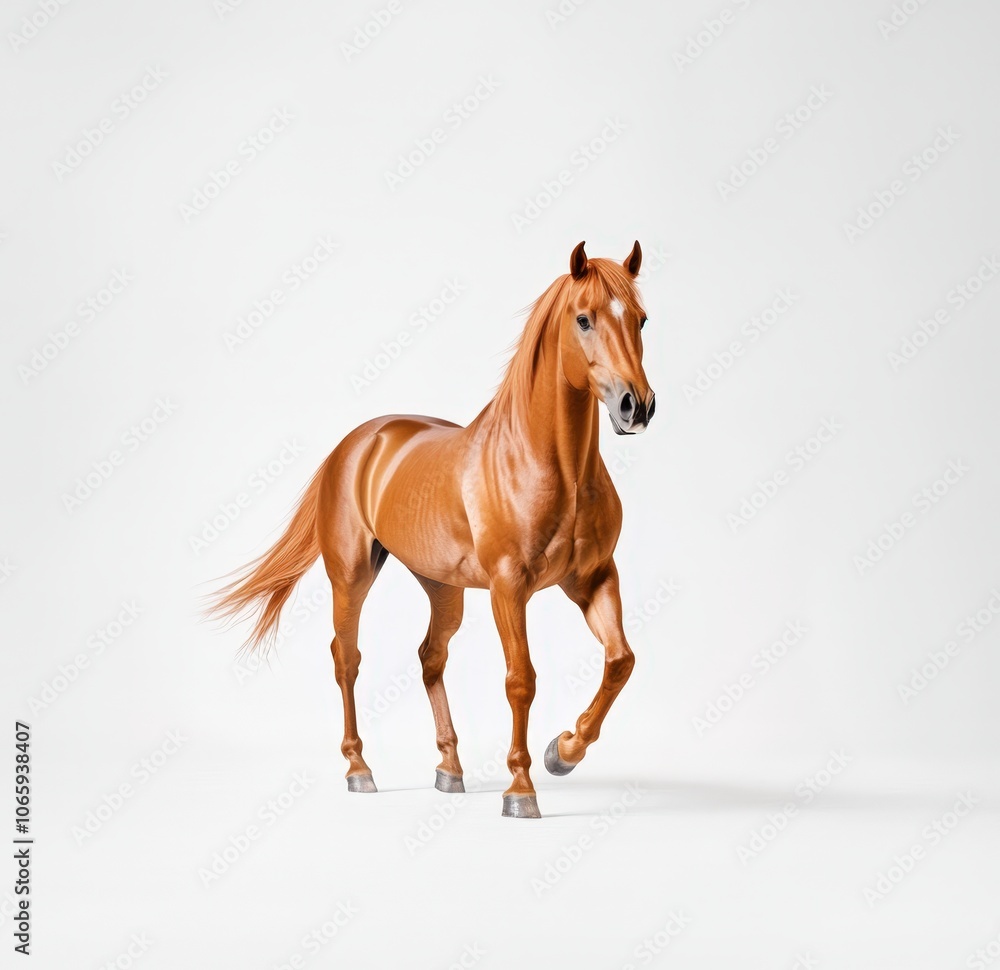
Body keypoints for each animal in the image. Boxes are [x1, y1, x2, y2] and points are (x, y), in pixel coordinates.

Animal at [210, 241, 656, 818]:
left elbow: (620, 661)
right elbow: (521, 680)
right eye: (584, 319)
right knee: (346, 658)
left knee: (429, 657)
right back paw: (359, 769)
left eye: (642, 320)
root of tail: (355, 444)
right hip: (351, 576)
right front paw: (521, 789)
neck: (550, 466)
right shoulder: (509, 587)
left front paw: (564, 751)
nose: (636, 405)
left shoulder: (594, 577)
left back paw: (450, 768)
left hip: (443, 587)